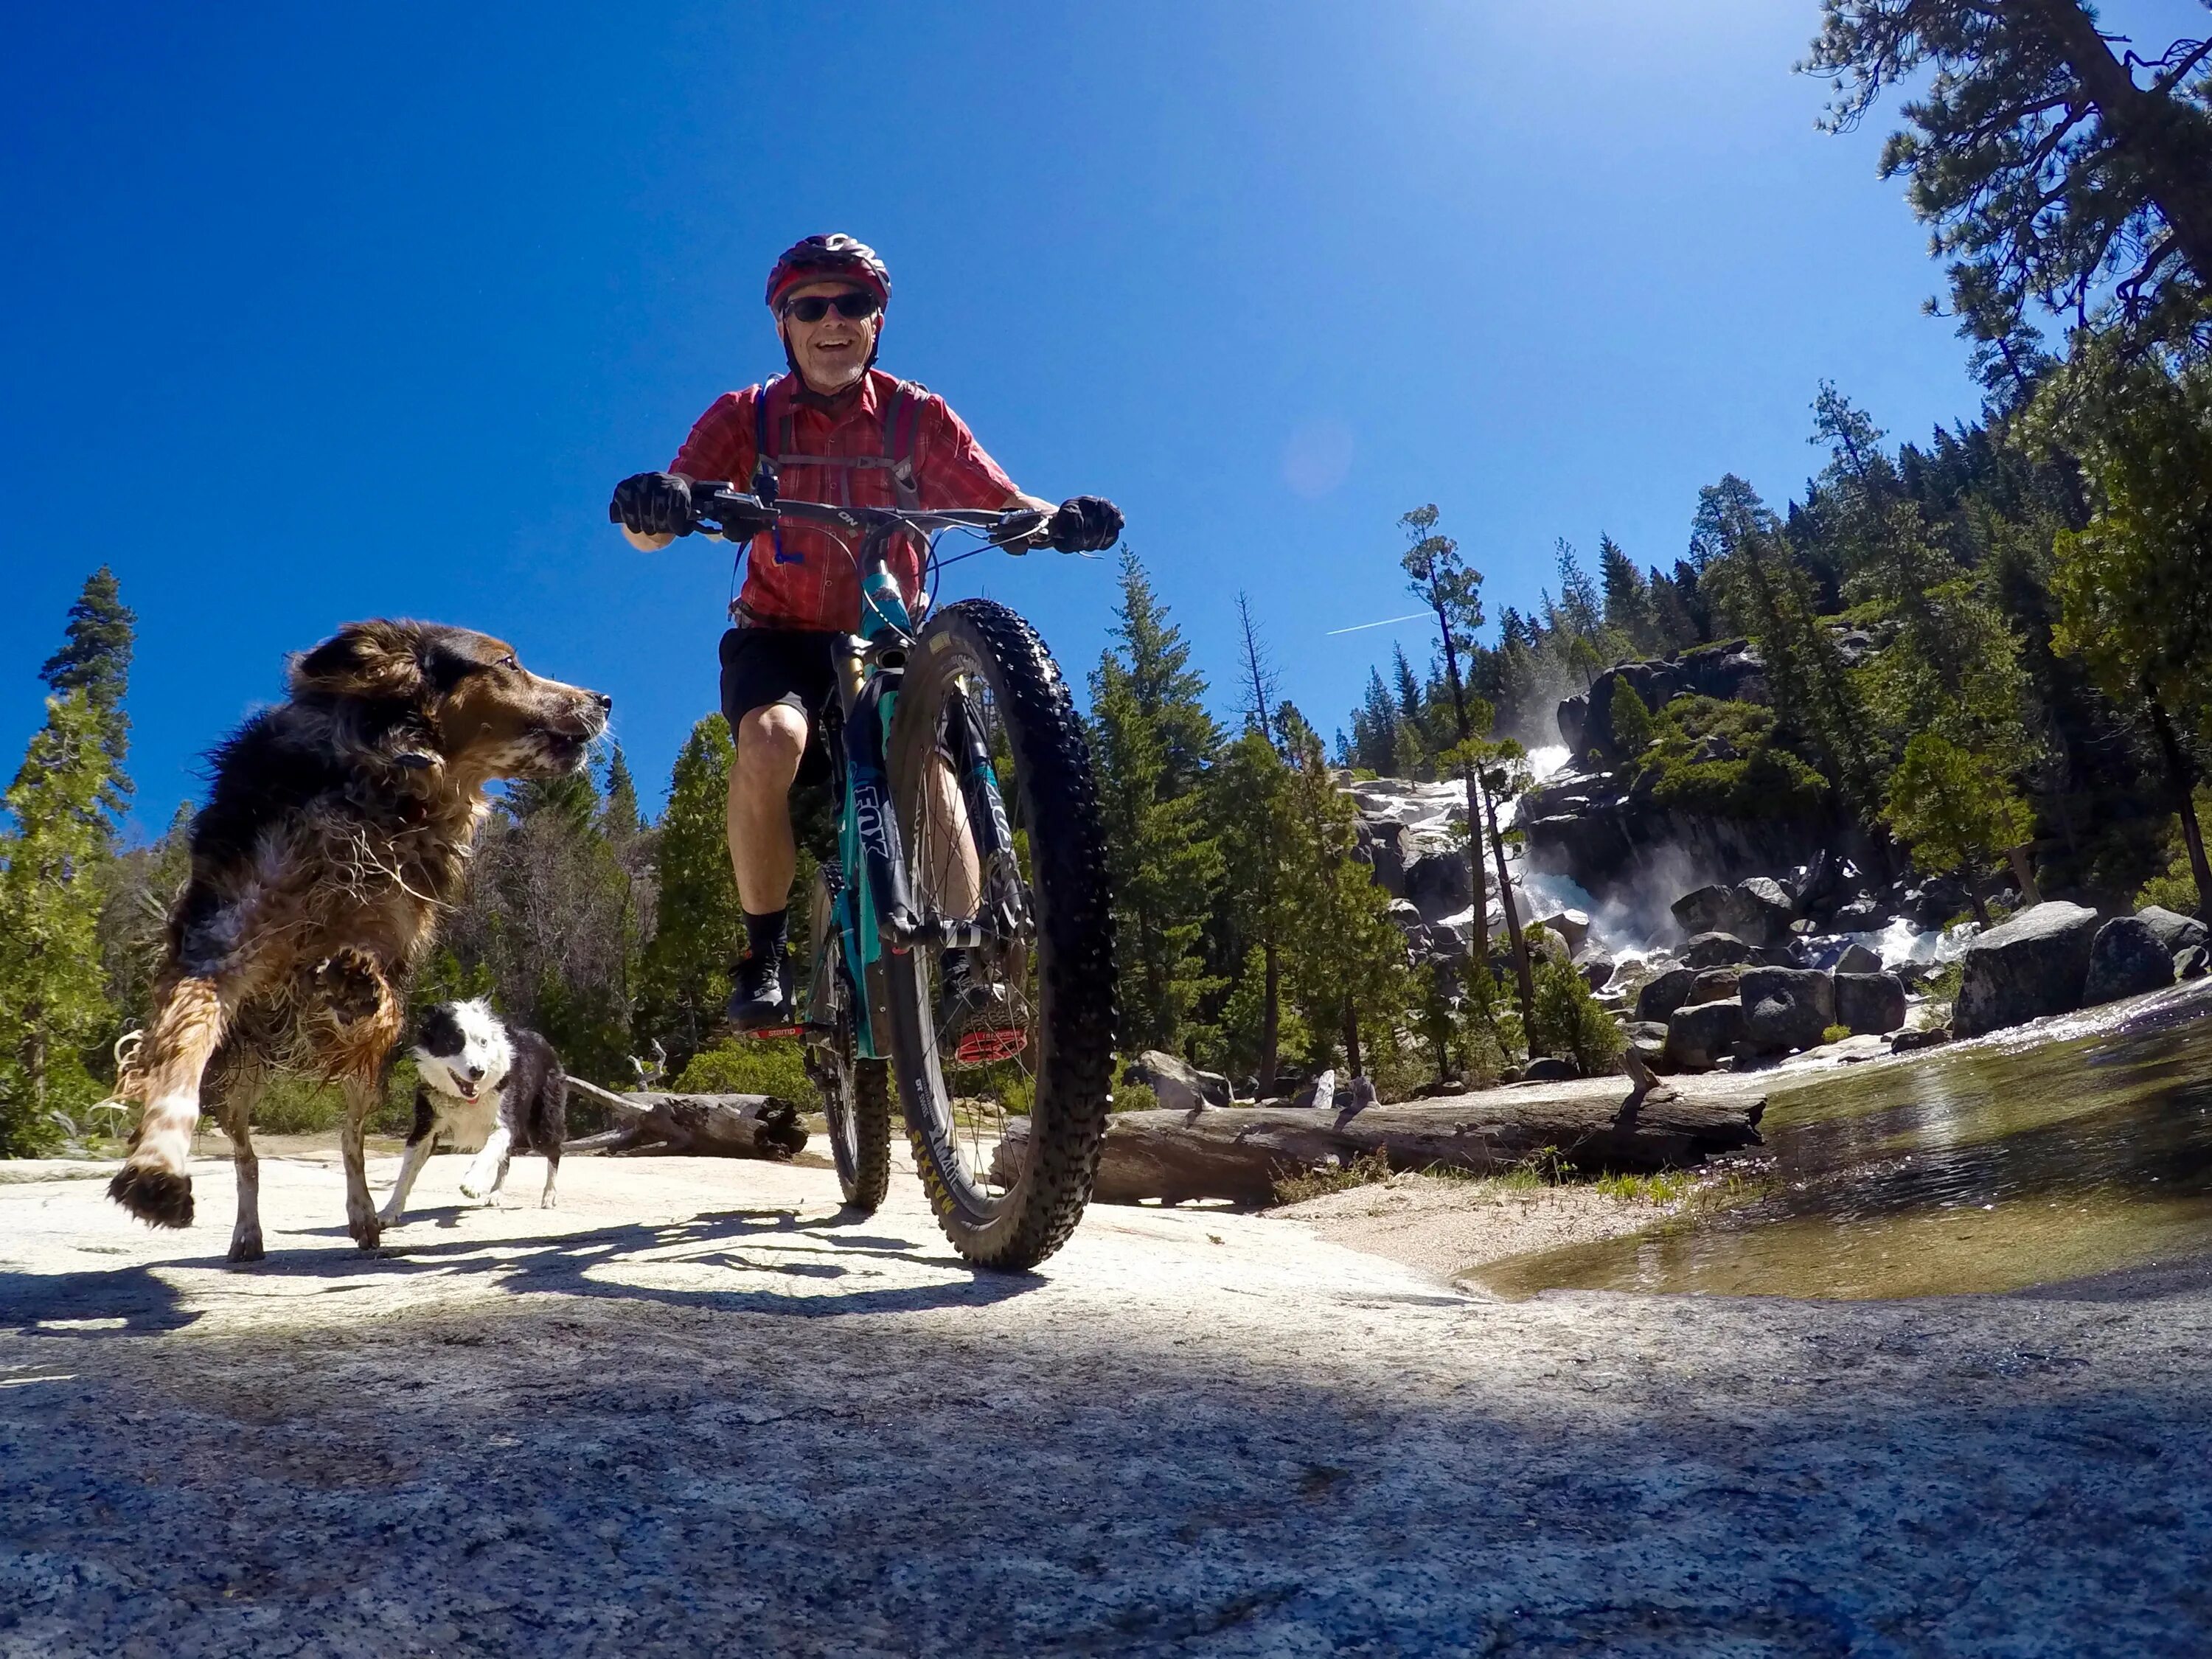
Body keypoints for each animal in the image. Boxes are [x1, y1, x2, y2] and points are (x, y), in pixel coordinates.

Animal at [374, 995, 566, 1230]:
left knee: (554, 1153)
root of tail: (543, 1041)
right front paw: (390, 1210)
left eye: (483, 1042)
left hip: (542, 1125)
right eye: (453, 1042)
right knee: (507, 1159)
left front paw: (472, 1183)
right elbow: (406, 1173)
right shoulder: (425, 1127)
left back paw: (549, 1195)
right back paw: (496, 1193)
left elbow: (488, 1152)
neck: (464, 1099)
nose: (478, 1072)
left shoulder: (503, 1121)